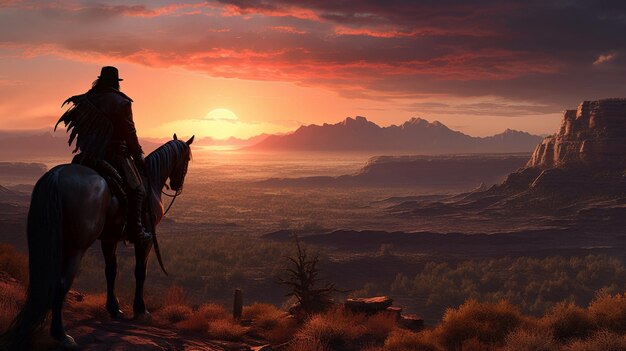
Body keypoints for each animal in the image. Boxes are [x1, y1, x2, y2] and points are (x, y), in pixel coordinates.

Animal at [0, 134, 193, 350]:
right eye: (187, 159)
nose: (178, 185)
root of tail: (57, 176)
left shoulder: (109, 239)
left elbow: (111, 271)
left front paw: (114, 309)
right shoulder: (146, 241)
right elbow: (140, 272)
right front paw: (141, 311)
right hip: (76, 247)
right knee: (62, 282)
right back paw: (62, 335)